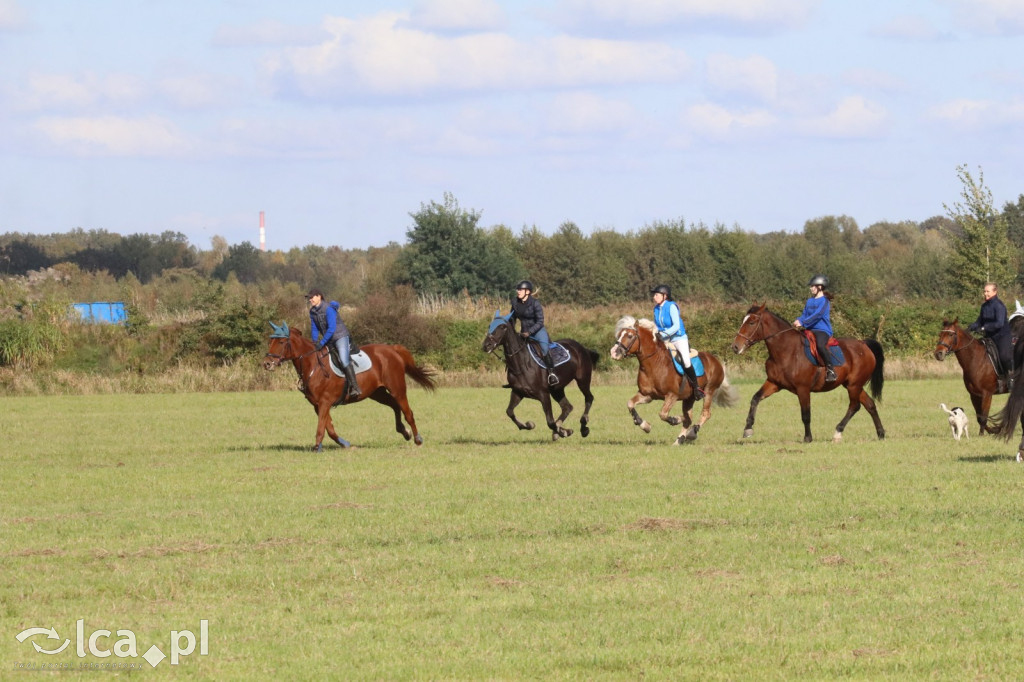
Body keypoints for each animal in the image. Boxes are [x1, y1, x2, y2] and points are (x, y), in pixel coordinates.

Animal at [262, 321, 434, 448]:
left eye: (282, 342)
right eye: (270, 341)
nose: (267, 364)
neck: (313, 366)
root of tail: (392, 349)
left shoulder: (325, 402)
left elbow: (321, 428)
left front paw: (317, 447)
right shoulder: (318, 405)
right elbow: (329, 428)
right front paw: (344, 444)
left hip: (397, 389)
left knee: (408, 412)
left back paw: (417, 439)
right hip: (377, 393)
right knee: (394, 406)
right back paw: (404, 432)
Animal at [606, 315, 737, 444]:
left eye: (629, 336)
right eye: (619, 335)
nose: (614, 353)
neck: (654, 364)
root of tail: (715, 360)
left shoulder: (672, 395)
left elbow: (663, 414)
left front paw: (676, 419)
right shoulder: (647, 395)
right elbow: (630, 404)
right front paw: (645, 426)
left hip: (709, 391)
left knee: (705, 414)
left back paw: (691, 433)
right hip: (689, 398)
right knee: (689, 419)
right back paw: (679, 440)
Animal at [729, 303, 888, 444]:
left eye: (751, 322)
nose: (735, 347)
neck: (786, 351)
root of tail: (863, 345)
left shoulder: (803, 389)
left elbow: (806, 414)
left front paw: (807, 438)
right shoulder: (774, 383)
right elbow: (755, 399)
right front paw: (748, 428)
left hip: (854, 385)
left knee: (855, 406)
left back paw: (837, 432)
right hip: (852, 385)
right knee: (870, 405)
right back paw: (880, 433)